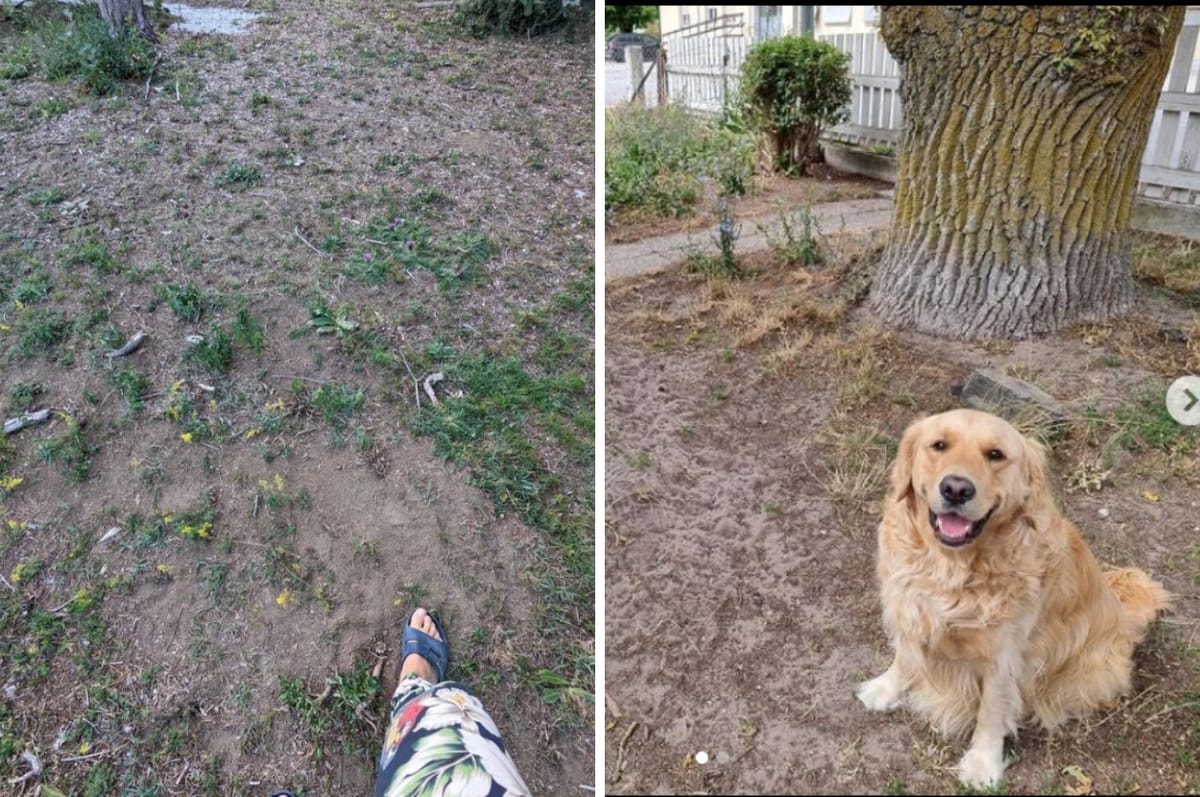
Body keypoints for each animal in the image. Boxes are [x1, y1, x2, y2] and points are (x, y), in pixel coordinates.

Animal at [859, 412, 1166, 787]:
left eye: (996, 455)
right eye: (939, 445)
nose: (956, 489)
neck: (952, 567)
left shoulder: (1004, 655)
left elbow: (991, 712)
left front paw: (982, 764)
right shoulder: (911, 610)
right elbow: (904, 657)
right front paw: (884, 689)